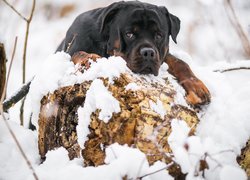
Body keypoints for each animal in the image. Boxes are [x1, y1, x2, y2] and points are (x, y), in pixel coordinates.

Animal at [57, 0, 211, 106]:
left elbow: (179, 62)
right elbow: (79, 53)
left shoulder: (162, 55)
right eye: (129, 34)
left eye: (158, 35)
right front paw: (91, 58)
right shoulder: (70, 49)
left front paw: (196, 86)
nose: (148, 52)